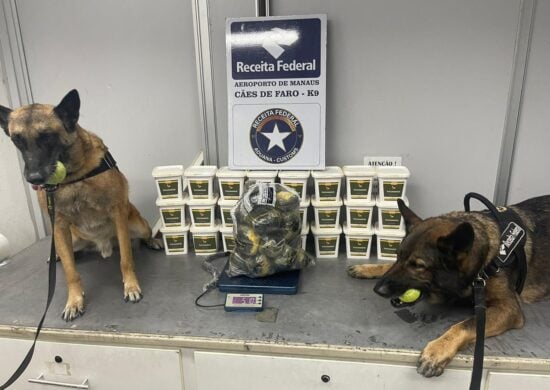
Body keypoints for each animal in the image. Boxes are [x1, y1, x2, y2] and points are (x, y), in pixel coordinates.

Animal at [0, 90, 163, 320]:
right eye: (17, 140)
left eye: (47, 136)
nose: (34, 178)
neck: (73, 178)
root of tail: (103, 246)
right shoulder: (58, 225)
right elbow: (71, 272)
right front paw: (74, 301)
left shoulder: (118, 213)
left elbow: (126, 259)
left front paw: (131, 286)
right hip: (71, 238)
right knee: (68, 253)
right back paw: (58, 257)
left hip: (137, 225)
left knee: (142, 236)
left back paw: (152, 242)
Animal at [350, 197, 550, 376]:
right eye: (398, 256)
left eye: (418, 266)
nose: (378, 289)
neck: (485, 260)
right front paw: (368, 268)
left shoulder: (508, 308)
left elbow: (466, 325)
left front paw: (438, 349)